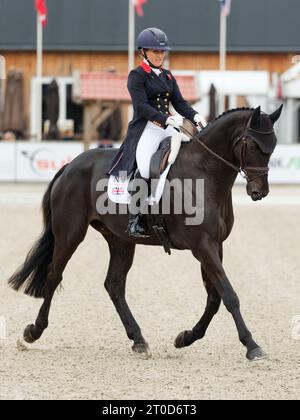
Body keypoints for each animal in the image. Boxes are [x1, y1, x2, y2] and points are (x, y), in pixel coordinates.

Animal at [8, 105, 282, 360]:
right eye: (254, 145)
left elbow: (215, 298)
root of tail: (69, 166)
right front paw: (252, 346)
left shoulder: (215, 245)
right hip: (70, 234)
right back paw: (32, 332)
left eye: (273, 146)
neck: (204, 173)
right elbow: (229, 295)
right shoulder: (203, 246)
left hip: (120, 240)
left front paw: (185, 338)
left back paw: (138, 339)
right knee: (54, 275)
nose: (260, 192)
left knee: (114, 285)